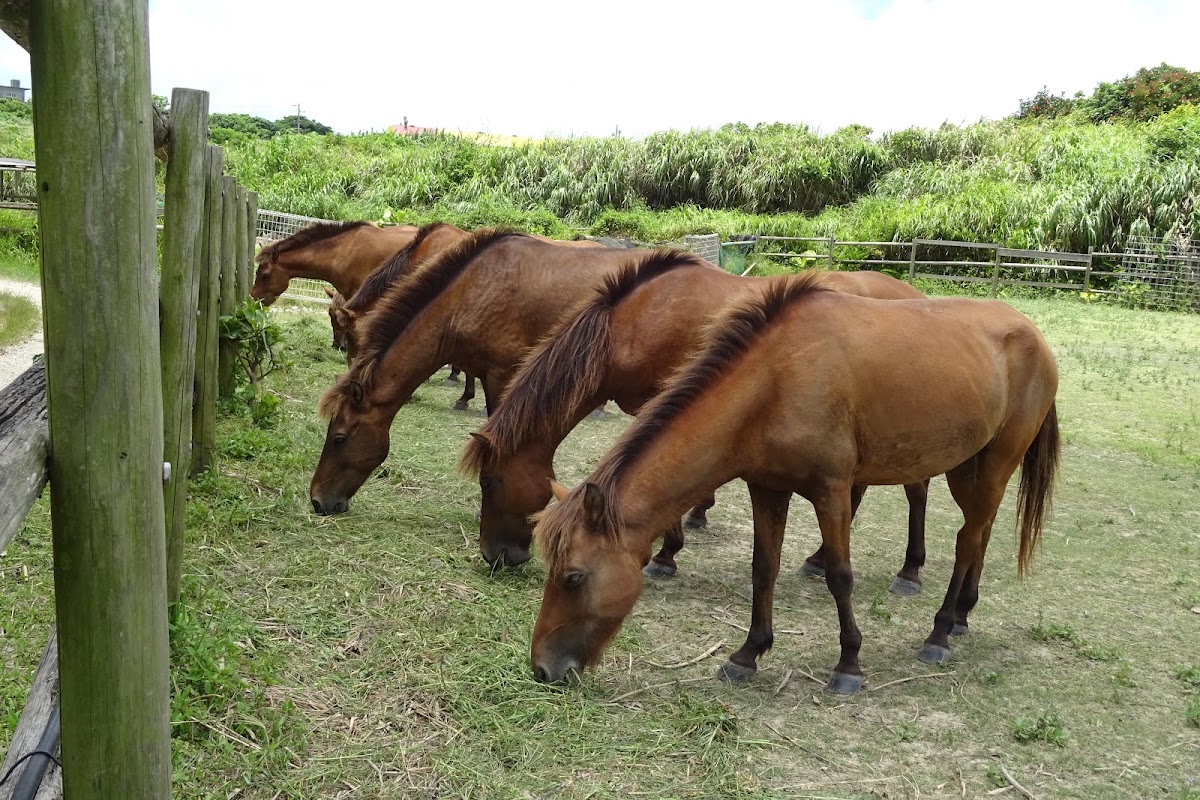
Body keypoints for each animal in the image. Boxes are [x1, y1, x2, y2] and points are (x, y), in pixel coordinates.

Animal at [460, 254, 931, 589]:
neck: (634, 322)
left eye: (489, 483)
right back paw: (819, 559)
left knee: (917, 489)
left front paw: (666, 554)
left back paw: (909, 572)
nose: (493, 556)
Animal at [529, 274, 1059, 694]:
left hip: (994, 462)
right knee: (979, 531)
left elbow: (840, 576)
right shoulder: (768, 488)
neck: (776, 382)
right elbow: (763, 568)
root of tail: (1032, 333)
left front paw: (849, 665)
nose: (541, 669)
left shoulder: (831, 491)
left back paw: (940, 632)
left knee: (968, 539)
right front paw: (747, 654)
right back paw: (964, 615)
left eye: (573, 577)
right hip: (967, 465)